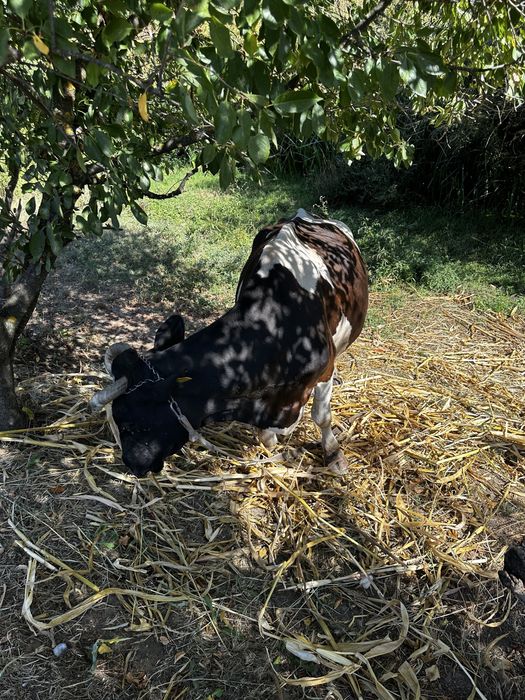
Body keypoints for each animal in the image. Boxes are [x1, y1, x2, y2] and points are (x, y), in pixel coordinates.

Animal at [90, 209, 368, 477]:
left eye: (131, 422)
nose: (132, 465)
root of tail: (302, 215)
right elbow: (265, 435)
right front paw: (276, 446)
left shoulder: (323, 371)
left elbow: (321, 416)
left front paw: (334, 455)